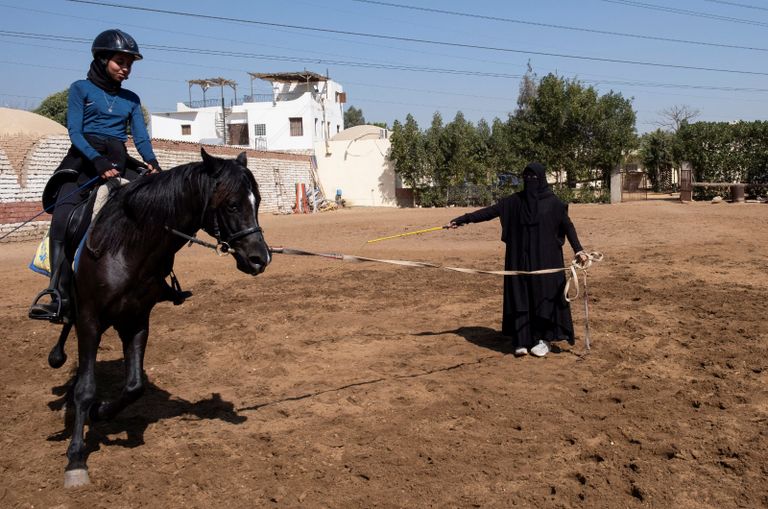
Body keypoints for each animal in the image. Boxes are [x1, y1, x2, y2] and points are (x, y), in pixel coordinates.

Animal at [47, 147, 270, 484]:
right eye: (232, 204)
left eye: (256, 201)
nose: (260, 258)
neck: (127, 246)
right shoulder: (90, 319)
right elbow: (86, 390)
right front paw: (75, 458)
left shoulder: (137, 321)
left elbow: (134, 386)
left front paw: (101, 411)